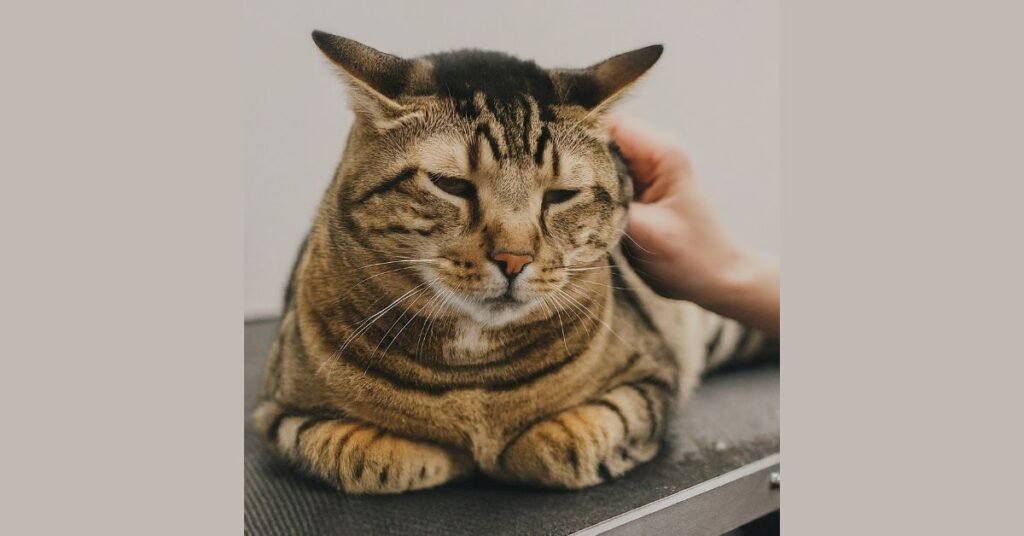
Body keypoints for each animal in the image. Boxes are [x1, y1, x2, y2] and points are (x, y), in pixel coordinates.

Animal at [251, 31, 770, 496]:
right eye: (451, 185)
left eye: (560, 195)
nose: (514, 258)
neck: (472, 374)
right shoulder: (281, 411)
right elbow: (363, 454)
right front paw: (445, 452)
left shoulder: (651, 378)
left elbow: (567, 441)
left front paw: (502, 450)